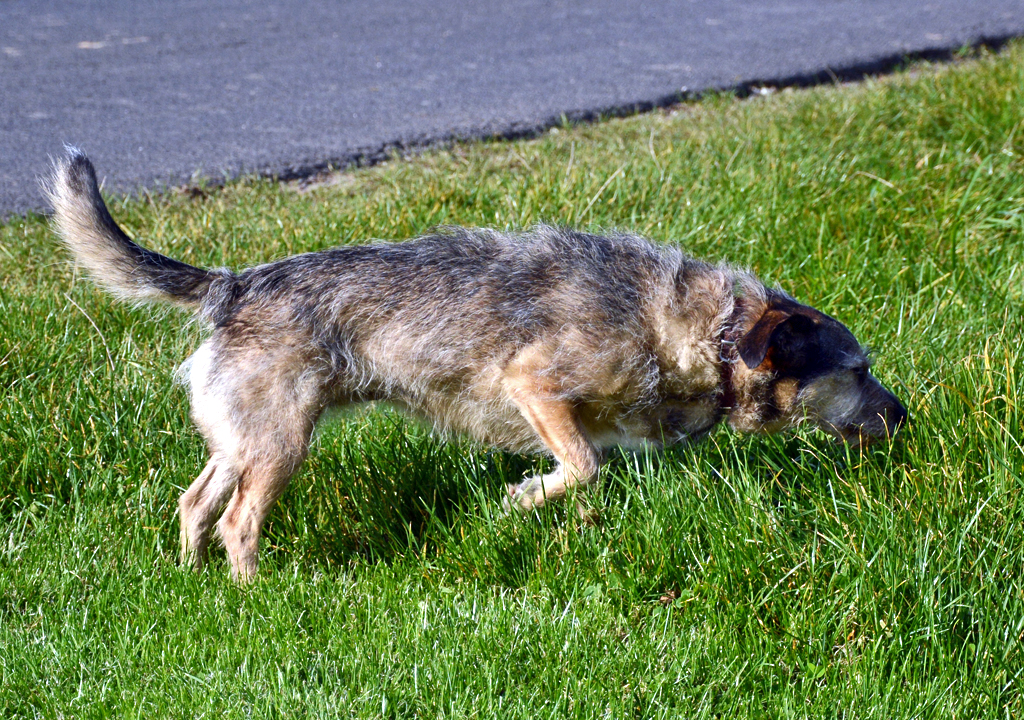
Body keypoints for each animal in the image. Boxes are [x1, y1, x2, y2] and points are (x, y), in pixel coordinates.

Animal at [46, 150, 905, 581]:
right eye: (858, 369)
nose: (905, 415)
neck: (708, 331)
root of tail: (234, 283)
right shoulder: (534, 386)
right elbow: (583, 464)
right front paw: (524, 499)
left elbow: (596, 473)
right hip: (280, 443)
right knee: (237, 521)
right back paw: (258, 595)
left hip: (243, 438)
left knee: (196, 504)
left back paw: (197, 586)